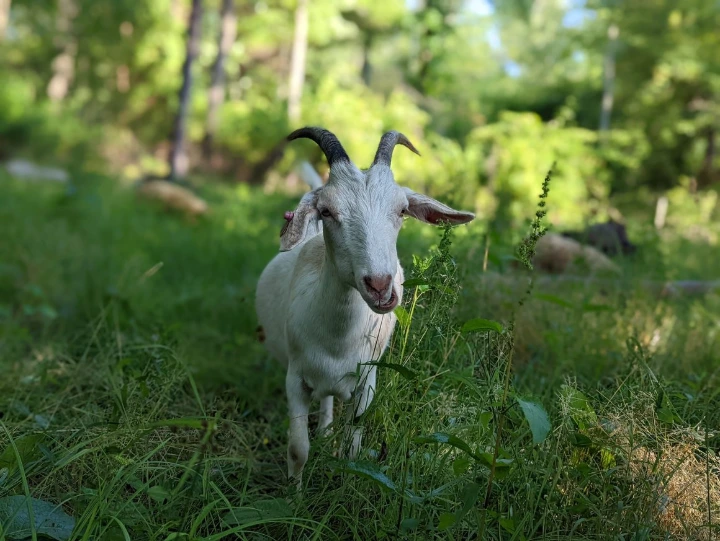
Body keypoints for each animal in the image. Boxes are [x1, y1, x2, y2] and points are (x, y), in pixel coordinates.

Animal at [255, 127, 475, 489]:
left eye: (402, 211)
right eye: (327, 211)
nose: (380, 286)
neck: (337, 342)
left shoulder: (366, 383)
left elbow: (352, 450)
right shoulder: (295, 379)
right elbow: (298, 448)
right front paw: (293, 495)